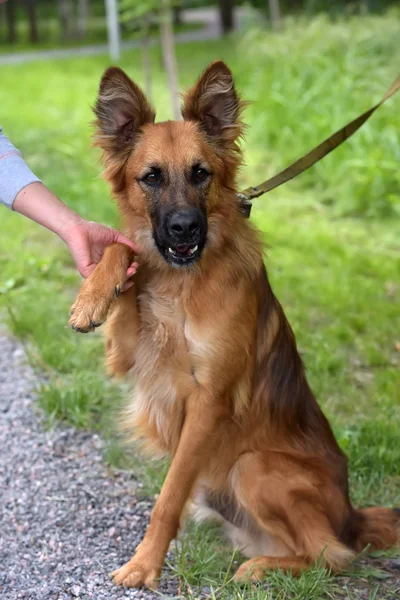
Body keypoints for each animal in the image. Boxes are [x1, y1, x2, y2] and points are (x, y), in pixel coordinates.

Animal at [70, 62, 398, 592]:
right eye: (151, 177)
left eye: (200, 173)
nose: (185, 228)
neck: (182, 283)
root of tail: (352, 515)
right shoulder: (128, 354)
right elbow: (124, 250)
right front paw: (92, 297)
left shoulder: (209, 401)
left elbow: (168, 496)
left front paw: (145, 564)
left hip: (253, 465)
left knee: (332, 554)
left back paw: (260, 568)